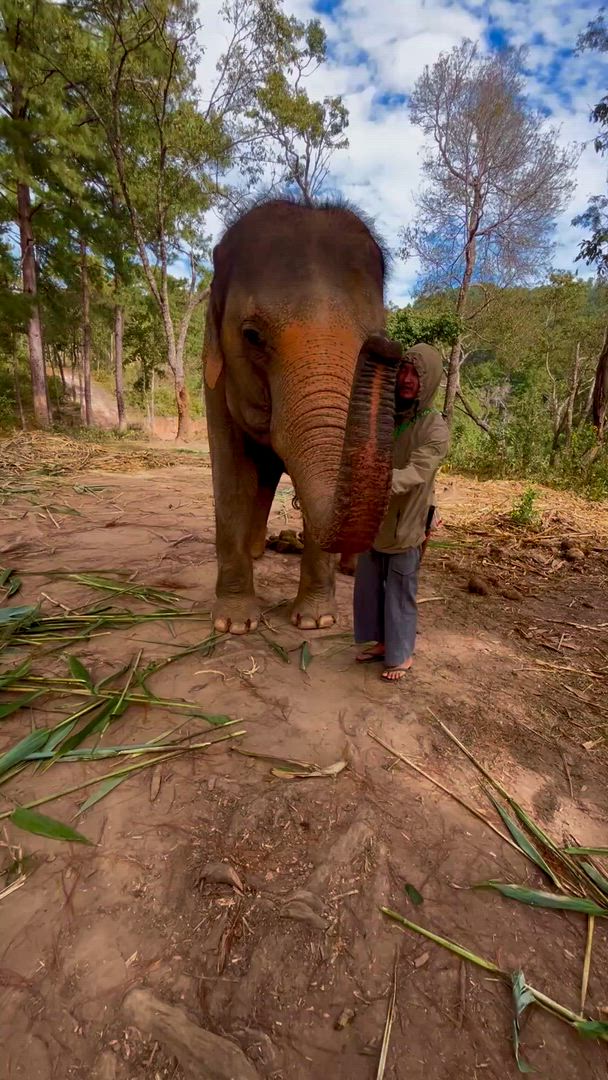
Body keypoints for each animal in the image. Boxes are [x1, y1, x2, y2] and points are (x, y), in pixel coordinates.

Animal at [202, 196, 402, 634]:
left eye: (374, 332)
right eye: (252, 336)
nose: (387, 347)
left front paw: (315, 621)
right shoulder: (214, 381)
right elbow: (231, 474)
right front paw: (234, 624)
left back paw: (348, 569)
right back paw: (257, 551)